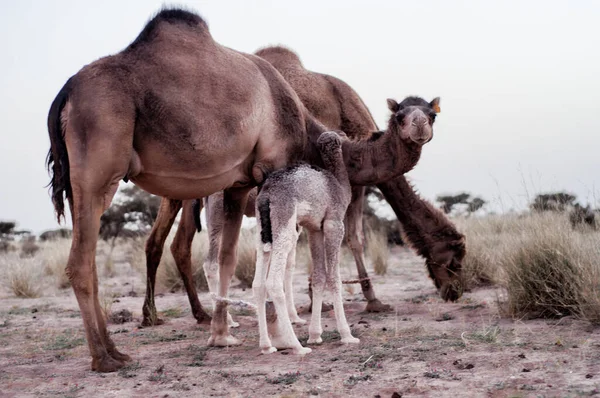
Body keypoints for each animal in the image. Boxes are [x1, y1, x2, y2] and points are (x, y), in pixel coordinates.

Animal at [141, 45, 464, 326]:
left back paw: (184, 314)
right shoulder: (349, 186)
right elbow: (354, 238)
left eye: (433, 114)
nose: (456, 291)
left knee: (171, 244)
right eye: (455, 253)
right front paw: (369, 300)